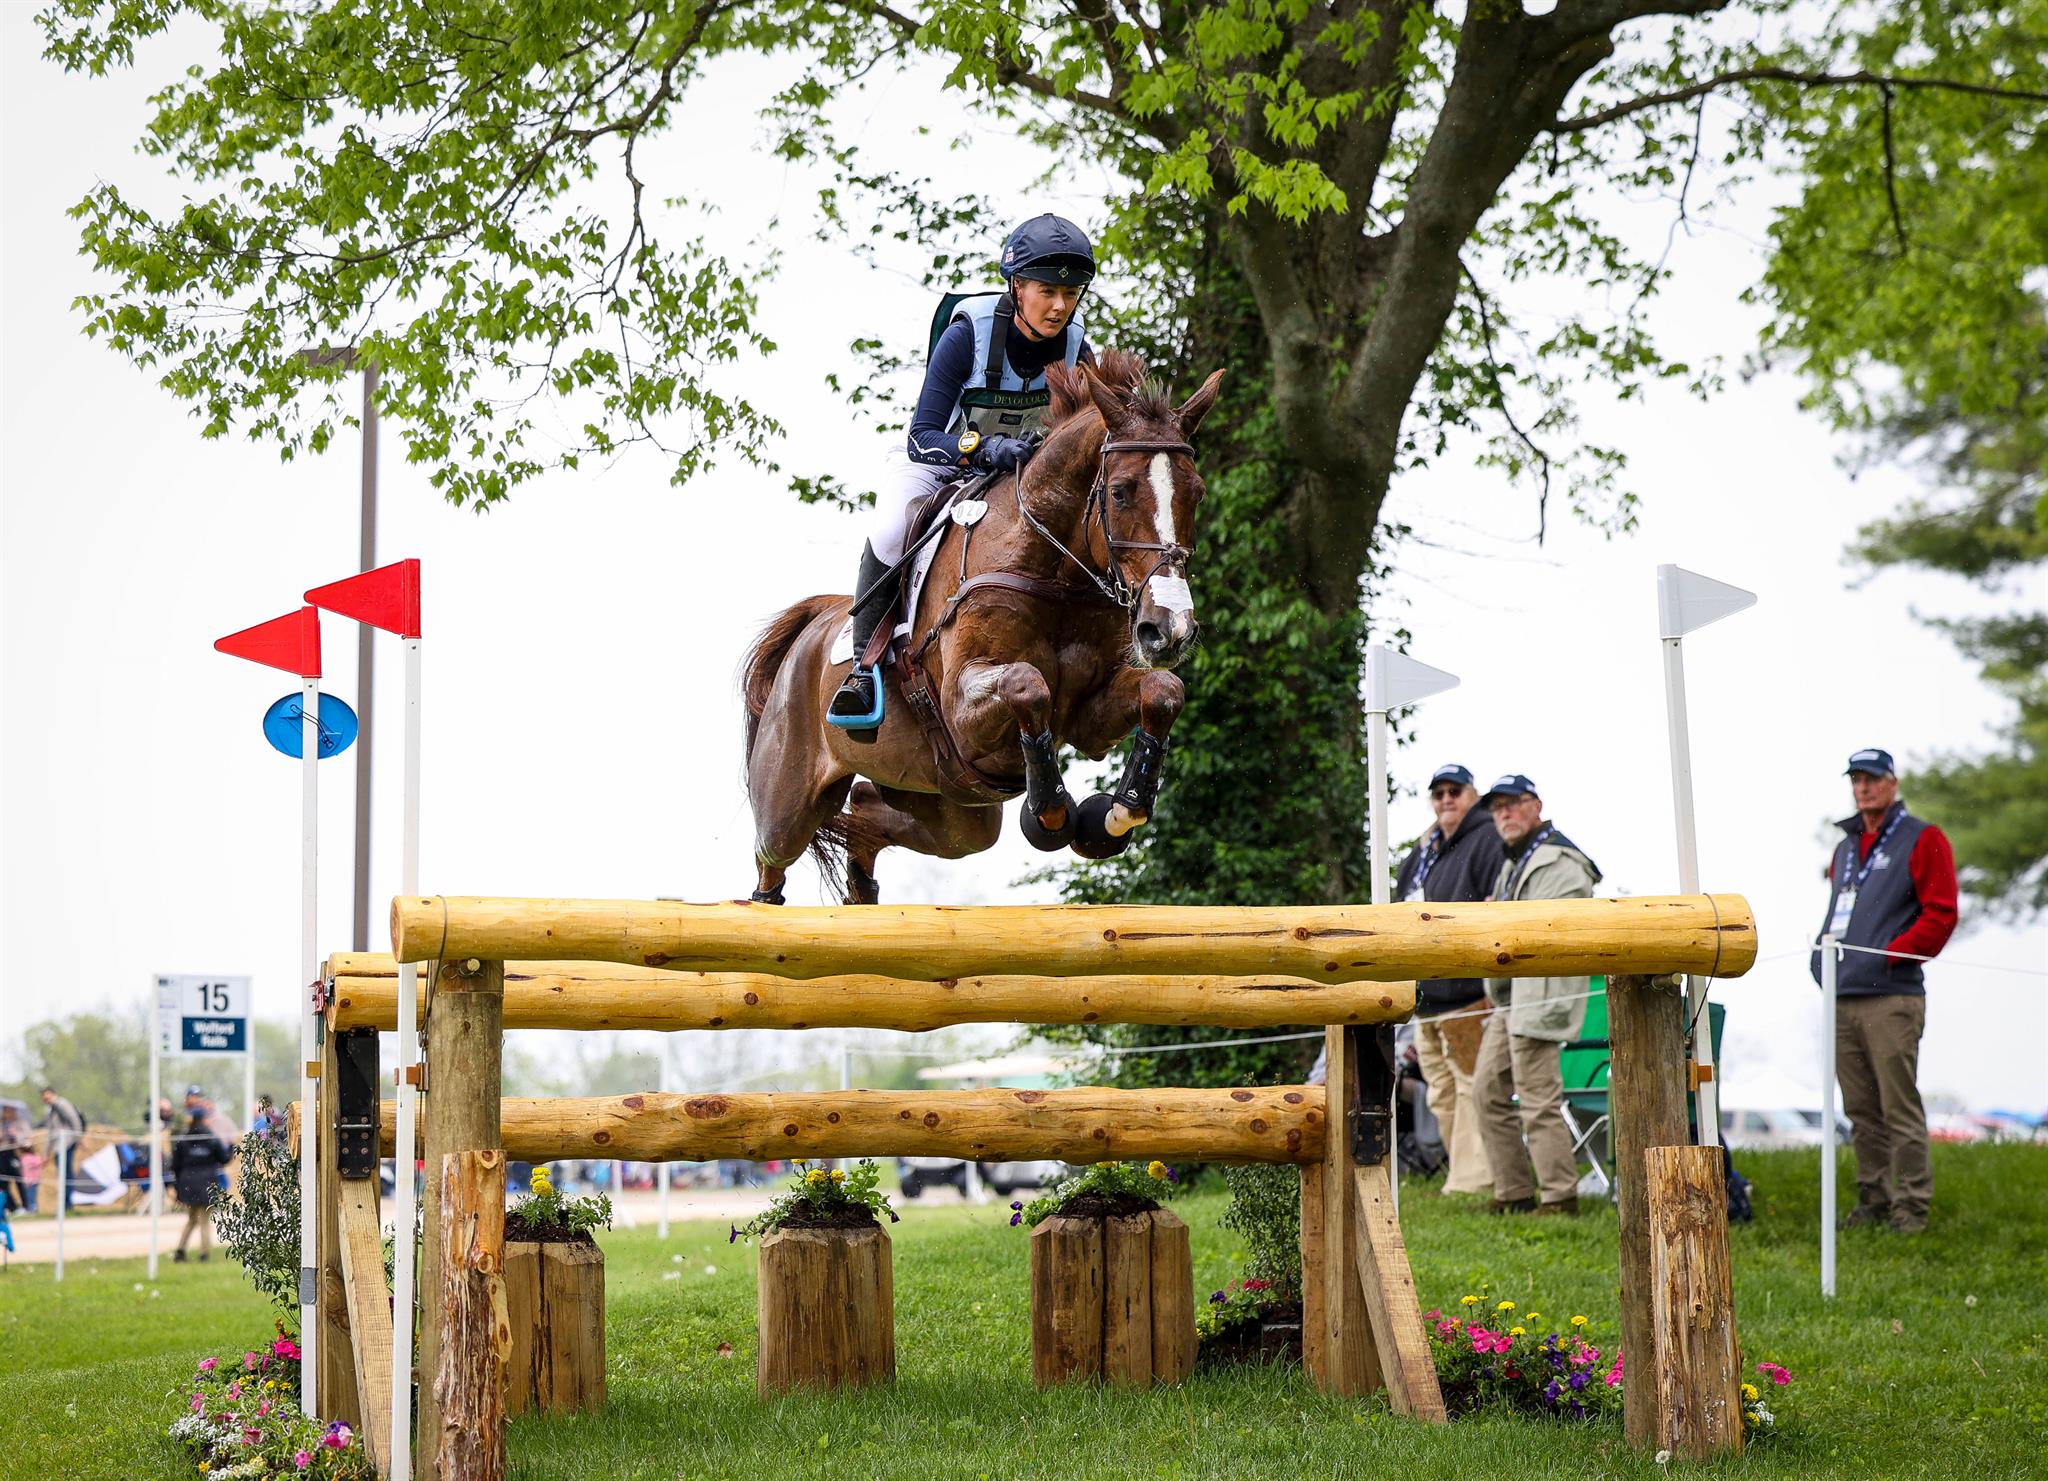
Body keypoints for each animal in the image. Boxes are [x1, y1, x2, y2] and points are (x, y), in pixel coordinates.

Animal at [737, 348, 1212, 905]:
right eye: (1119, 492)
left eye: (1197, 494)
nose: (1170, 628)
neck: (1053, 569)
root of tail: (812, 628)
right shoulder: (963, 706)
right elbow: (1028, 683)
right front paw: (1051, 813)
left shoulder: (1089, 718)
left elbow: (1163, 690)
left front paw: (1118, 813)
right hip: (790, 801)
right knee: (772, 859)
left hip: (952, 807)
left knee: (870, 810)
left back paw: (861, 885)